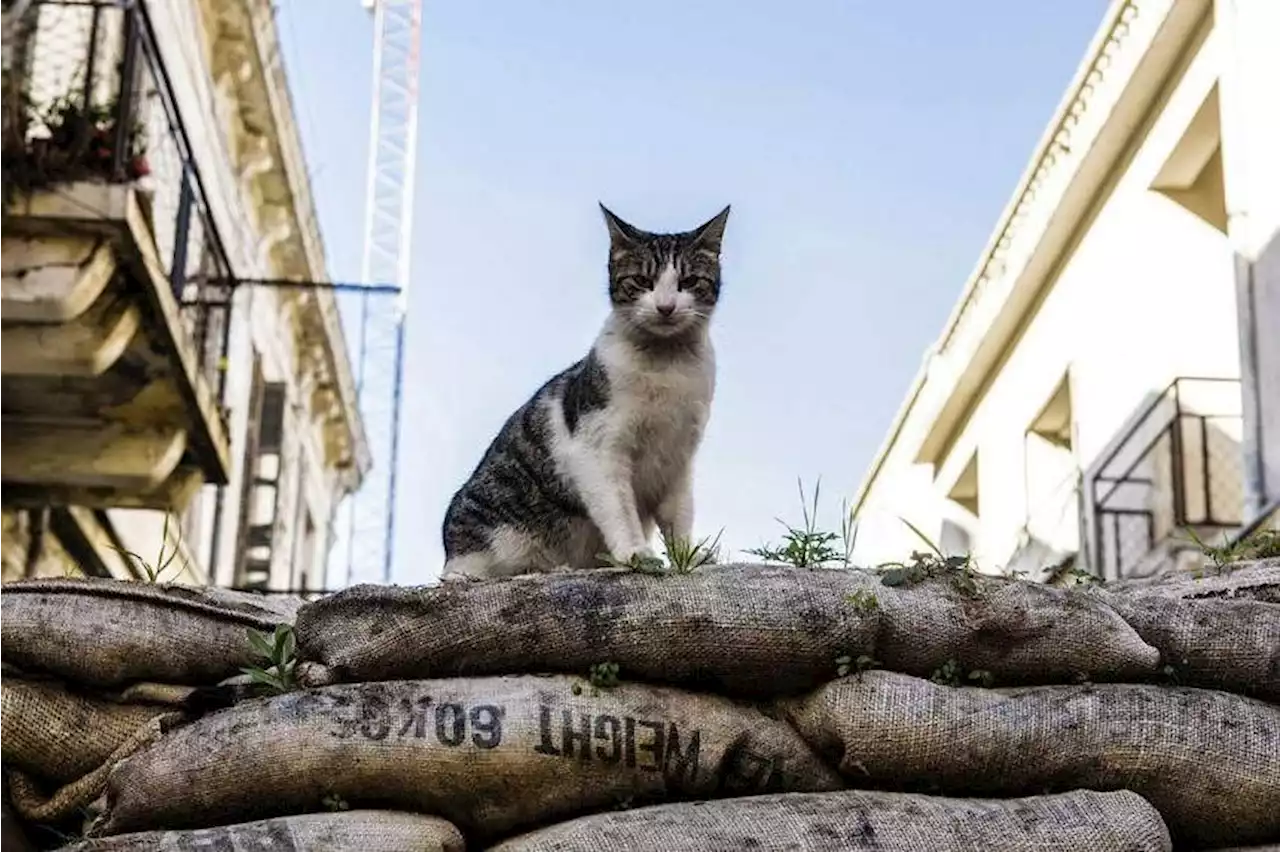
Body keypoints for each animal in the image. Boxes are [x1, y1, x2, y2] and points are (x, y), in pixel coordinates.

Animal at [445, 202, 732, 580]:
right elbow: (619, 510)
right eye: (642, 281)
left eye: (688, 282)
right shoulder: (597, 450)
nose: (666, 306)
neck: (667, 366)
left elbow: (679, 516)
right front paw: (635, 554)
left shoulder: (678, 459)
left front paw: (688, 556)